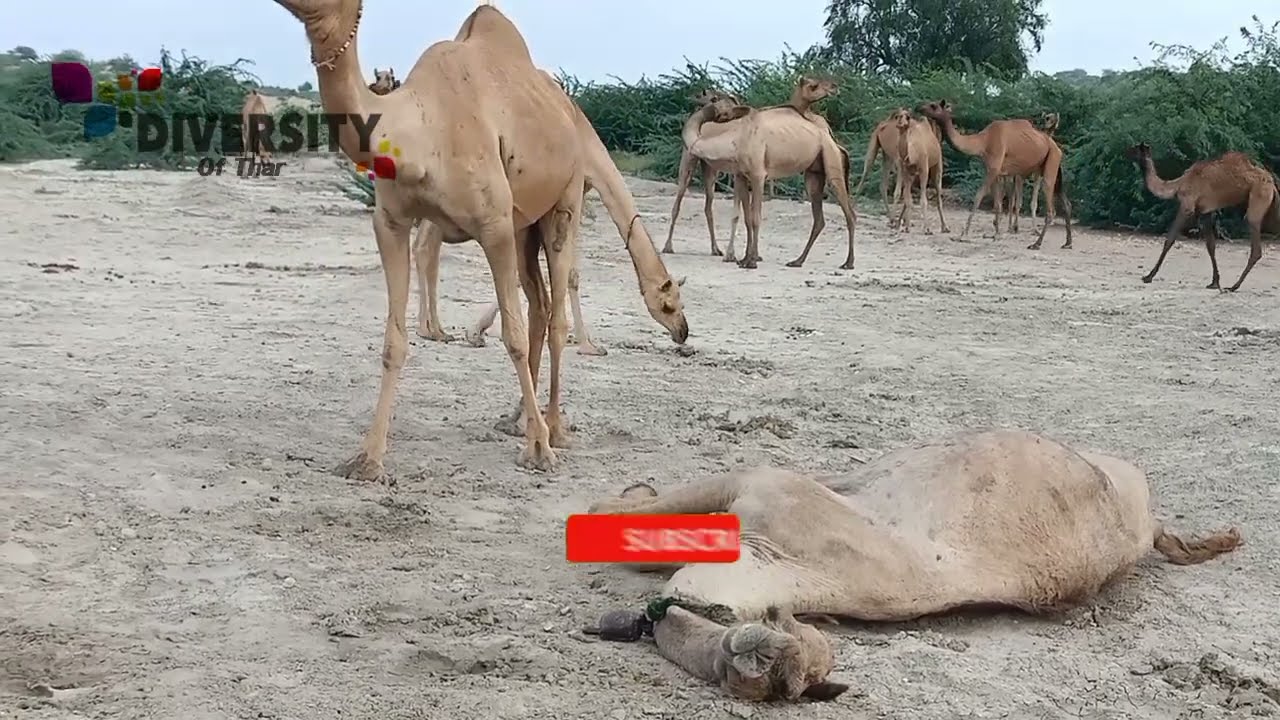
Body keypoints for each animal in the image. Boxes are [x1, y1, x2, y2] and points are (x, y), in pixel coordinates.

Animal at [271, 0, 688, 480]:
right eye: (671, 304)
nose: (684, 331)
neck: (417, 133)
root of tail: (570, 113)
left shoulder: (494, 225)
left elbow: (513, 335)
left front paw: (539, 450)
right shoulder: (390, 223)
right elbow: (394, 341)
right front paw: (368, 458)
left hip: (563, 201)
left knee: (555, 312)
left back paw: (554, 428)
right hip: (525, 224)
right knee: (540, 304)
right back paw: (519, 419)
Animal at [685, 77, 857, 269]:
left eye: (715, 98)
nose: (696, 95)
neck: (736, 139)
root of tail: (834, 142)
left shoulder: (758, 176)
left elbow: (755, 218)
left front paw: (752, 261)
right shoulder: (742, 176)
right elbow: (748, 218)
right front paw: (744, 259)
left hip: (831, 159)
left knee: (849, 212)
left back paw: (848, 263)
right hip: (814, 173)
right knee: (819, 217)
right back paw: (797, 261)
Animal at [918, 100, 1073, 251]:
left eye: (933, 105)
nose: (920, 108)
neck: (983, 141)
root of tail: (1056, 147)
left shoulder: (993, 168)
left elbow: (978, 196)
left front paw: (962, 235)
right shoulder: (995, 171)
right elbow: (997, 202)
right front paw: (996, 234)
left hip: (1050, 163)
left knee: (1051, 208)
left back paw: (1036, 244)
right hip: (1053, 167)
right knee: (1066, 202)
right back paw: (1067, 243)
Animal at [1125, 143, 1279, 291]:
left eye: (1135, 149)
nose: (1125, 152)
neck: (1178, 185)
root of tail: (1272, 183)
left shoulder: (1187, 206)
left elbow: (1169, 239)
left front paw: (1148, 277)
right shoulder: (1205, 212)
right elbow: (1210, 245)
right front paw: (1214, 283)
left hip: (1259, 196)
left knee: (1255, 245)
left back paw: (1234, 286)